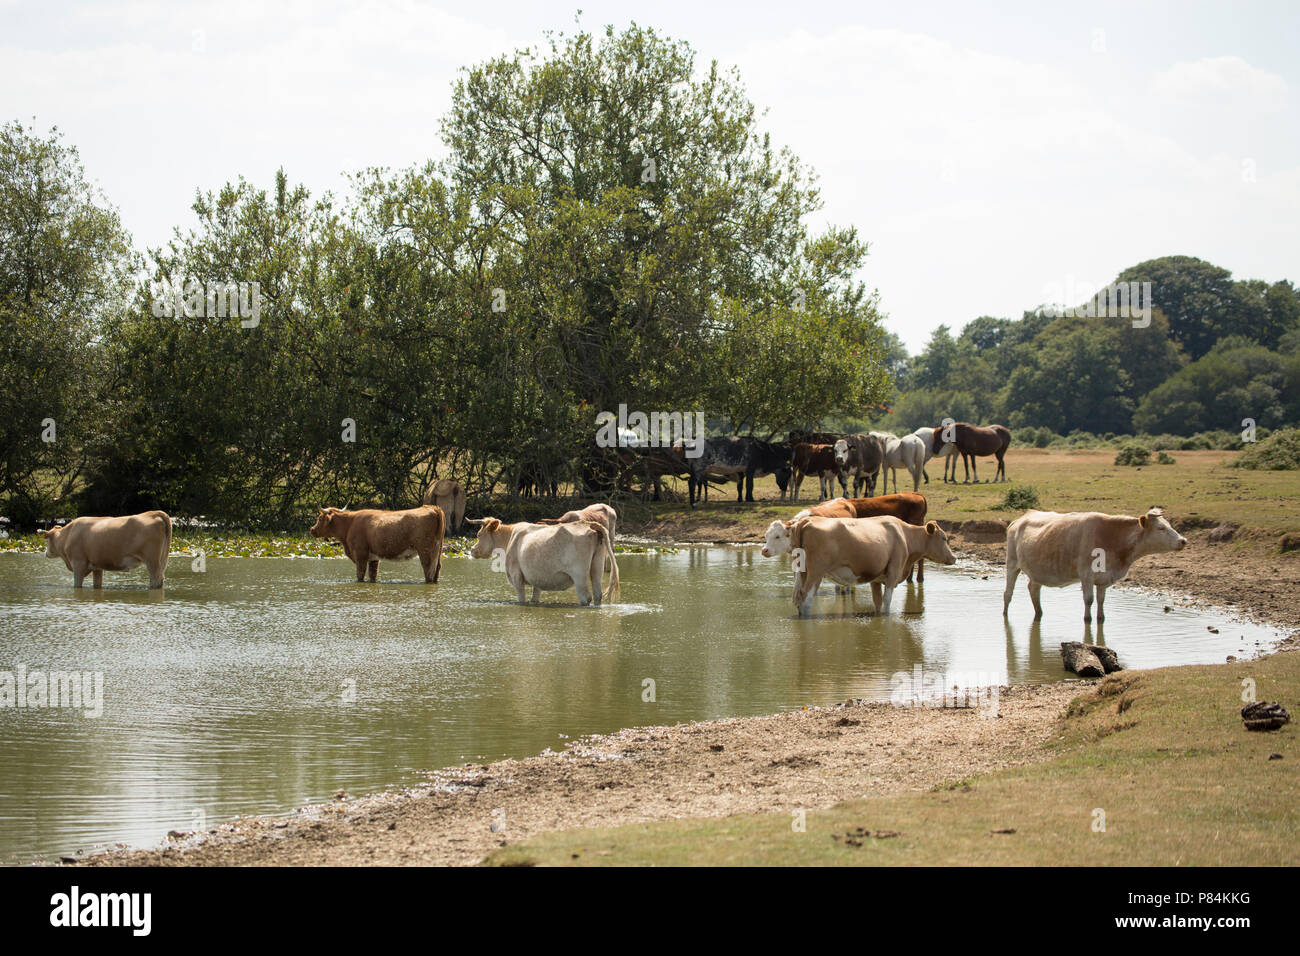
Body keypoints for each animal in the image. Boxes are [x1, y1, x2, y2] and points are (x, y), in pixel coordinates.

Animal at [40, 512, 171, 587]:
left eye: (46, 541)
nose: (45, 553)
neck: (68, 534)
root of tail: (153, 513)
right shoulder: (97, 566)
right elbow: (97, 584)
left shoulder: (78, 563)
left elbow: (77, 584)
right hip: (161, 560)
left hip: (152, 561)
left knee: (156, 580)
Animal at [310, 509, 447, 582]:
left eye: (320, 518)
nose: (312, 529)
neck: (349, 524)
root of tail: (432, 508)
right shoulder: (373, 558)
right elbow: (373, 574)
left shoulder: (360, 555)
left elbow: (360, 574)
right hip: (438, 550)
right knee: (437, 569)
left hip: (425, 550)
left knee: (428, 569)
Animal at [470, 515, 616, 606]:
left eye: (479, 535)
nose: (471, 550)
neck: (510, 537)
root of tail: (588, 524)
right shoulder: (538, 579)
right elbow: (535, 598)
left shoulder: (516, 577)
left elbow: (522, 599)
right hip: (597, 568)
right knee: (597, 595)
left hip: (579, 575)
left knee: (586, 598)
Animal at [780, 520, 956, 616]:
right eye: (943, 538)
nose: (954, 557)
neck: (904, 535)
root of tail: (806, 521)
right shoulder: (893, 572)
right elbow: (887, 601)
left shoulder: (876, 579)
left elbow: (877, 602)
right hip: (816, 573)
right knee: (806, 600)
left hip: (803, 573)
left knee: (799, 599)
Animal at [1003, 504, 1190, 624]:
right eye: (1160, 528)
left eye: (1169, 525)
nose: (1183, 541)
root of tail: (1018, 520)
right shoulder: (1086, 574)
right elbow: (1089, 600)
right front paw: (1088, 620)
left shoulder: (1104, 579)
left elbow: (1101, 601)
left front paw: (1101, 619)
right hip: (1012, 563)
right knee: (1008, 594)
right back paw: (1005, 615)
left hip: (1037, 570)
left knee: (1034, 588)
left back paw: (1039, 614)